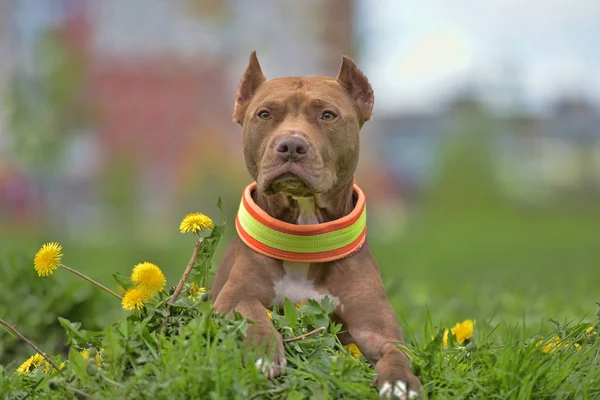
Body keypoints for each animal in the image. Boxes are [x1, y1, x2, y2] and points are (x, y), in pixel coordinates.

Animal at [211, 53, 422, 400]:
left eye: (327, 115)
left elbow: (395, 352)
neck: (304, 237)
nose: (291, 145)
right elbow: (252, 312)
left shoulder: (374, 328)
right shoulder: (230, 298)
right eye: (265, 114)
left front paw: (399, 380)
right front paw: (263, 354)